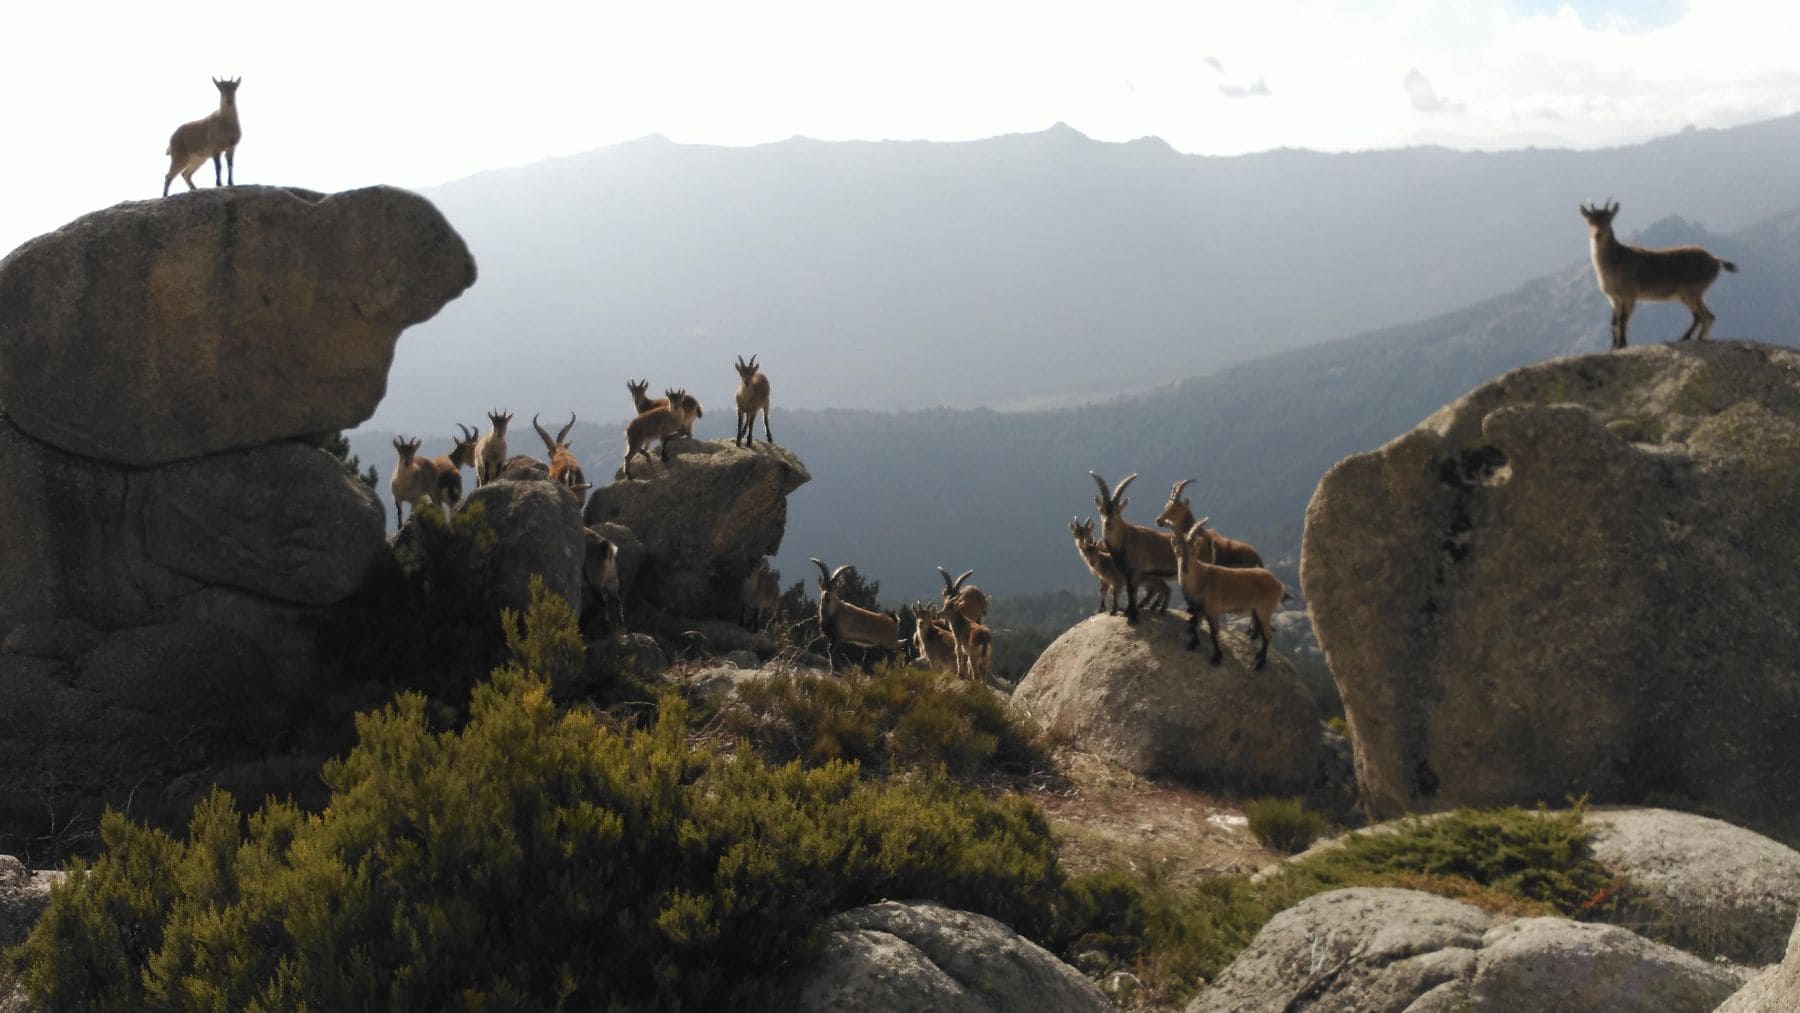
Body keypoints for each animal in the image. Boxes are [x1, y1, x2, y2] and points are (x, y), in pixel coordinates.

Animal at [1089, 472, 1179, 624]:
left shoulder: (1135, 571)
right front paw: (1128, 612)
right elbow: (1129, 591)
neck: (1126, 537)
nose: (1108, 523)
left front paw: (1132, 615)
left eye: (1117, 511)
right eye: (1101, 510)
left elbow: (1132, 591)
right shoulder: (1126, 571)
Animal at [1169, 520, 1288, 670]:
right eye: (1177, 551)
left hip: (1264, 610)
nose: (1185, 568)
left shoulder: (1212, 610)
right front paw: (1193, 644)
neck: (1200, 579)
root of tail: (1279, 585)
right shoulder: (1198, 609)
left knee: (1268, 634)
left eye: (1193, 552)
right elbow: (1195, 625)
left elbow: (1214, 634)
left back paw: (1259, 664)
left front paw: (1216, 657)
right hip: (1257, 611)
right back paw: (1258, 656)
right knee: (1263, 631)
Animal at [1580, 200, 1737, 349]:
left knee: (1706, 316)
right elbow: (1614, 321)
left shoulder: (1629, 294)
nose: (1598, 234)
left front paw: (1622, 344)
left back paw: (1690, 338)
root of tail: (1715, 260)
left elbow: (1623, 319)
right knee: (1702, 316)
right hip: (1688, 294)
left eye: (1608, 219)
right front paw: (1614, 347)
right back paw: (1690, 338)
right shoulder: (1613, 297)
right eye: (1590, 220)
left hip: (1693, 291)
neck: (1615, 260)